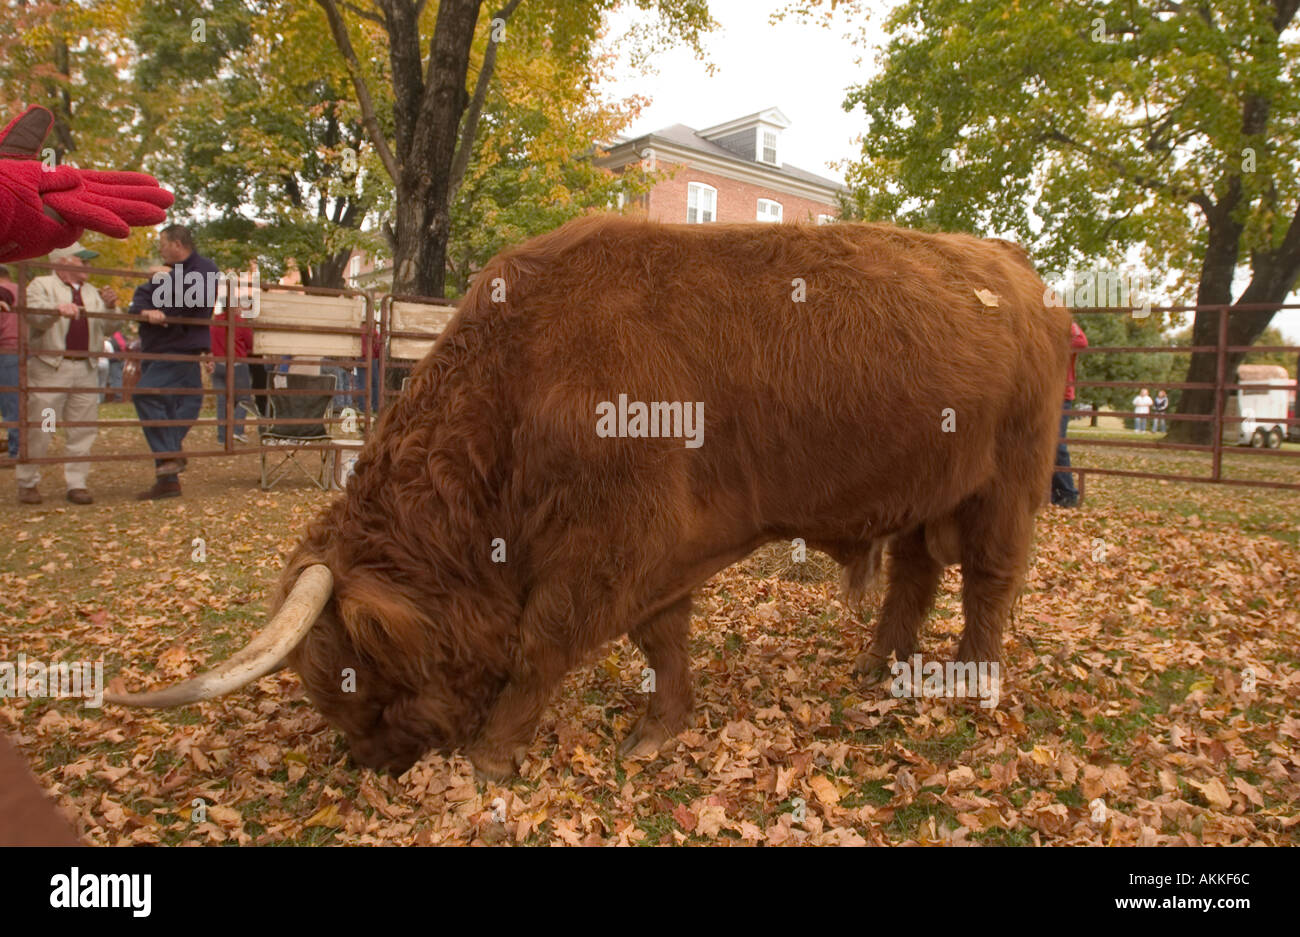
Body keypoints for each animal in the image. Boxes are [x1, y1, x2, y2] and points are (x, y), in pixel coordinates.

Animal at [106, 215, 1071, 781]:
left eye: (352, 674)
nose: (371, 761)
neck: (521, 379)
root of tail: (1015, 268)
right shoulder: (659, 544)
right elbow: (661, 635)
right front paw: (662, 726)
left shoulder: (611, 542)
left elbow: (546, 643)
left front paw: (492, 756)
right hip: (927, 485)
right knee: (914, 570)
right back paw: (877, 663)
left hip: (1006, 478)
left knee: (990, 579)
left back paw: (972, 680)